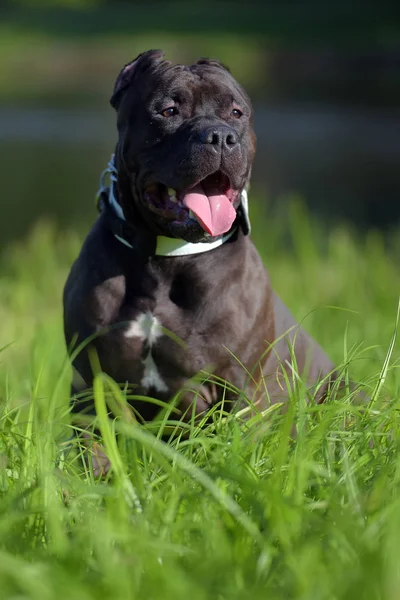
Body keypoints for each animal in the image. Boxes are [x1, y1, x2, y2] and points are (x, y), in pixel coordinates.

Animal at [63, 49, 338, 466]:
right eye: (169, 110)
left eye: (237, 112)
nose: (221, 136)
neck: (165, 260)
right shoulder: (91, 380)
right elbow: (92, 447)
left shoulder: (236, 388)